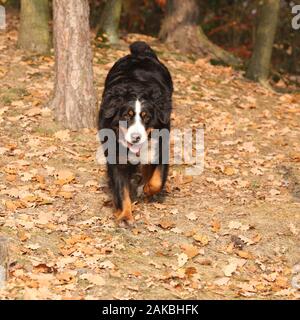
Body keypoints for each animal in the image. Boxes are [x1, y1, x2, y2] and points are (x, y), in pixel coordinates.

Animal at [99, 40, 173, 225]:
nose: (136, 137)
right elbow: (121, 189)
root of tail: (142, 53)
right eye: (127, 115)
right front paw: (125, 215)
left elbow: (157, 179)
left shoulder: (161, 142)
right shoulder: (116, 155)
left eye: (146, 117)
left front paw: (146, 189)